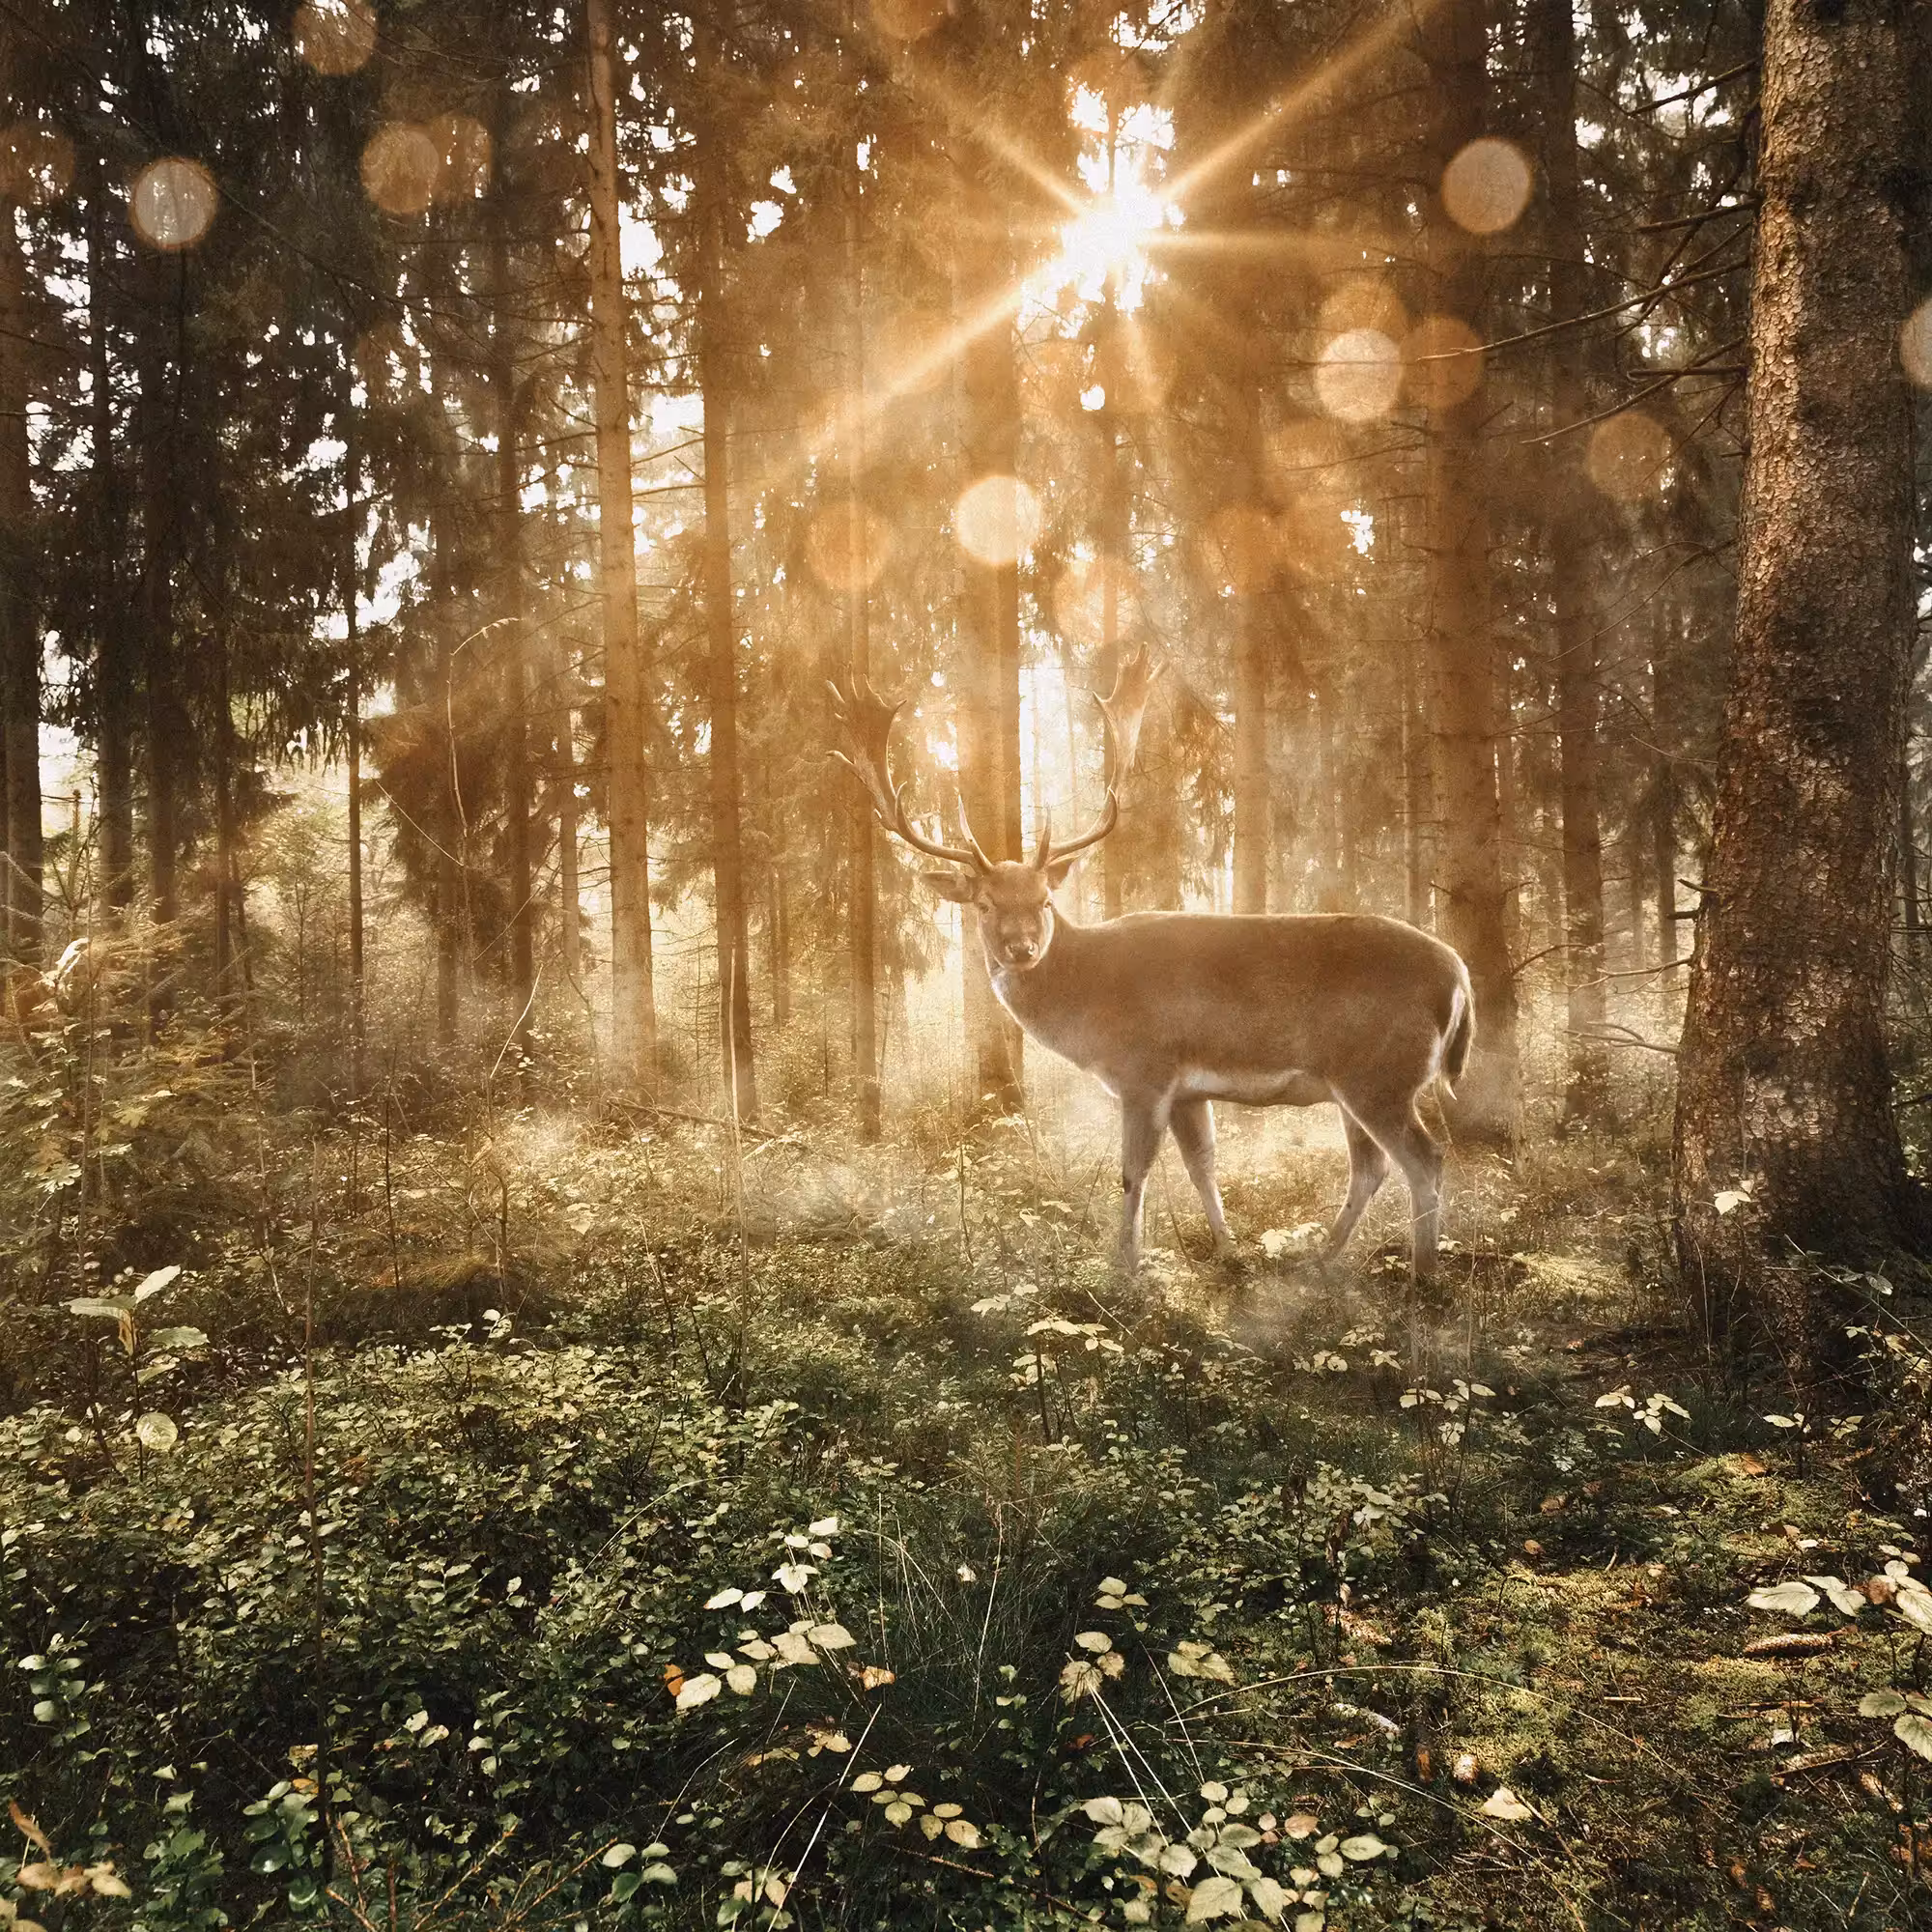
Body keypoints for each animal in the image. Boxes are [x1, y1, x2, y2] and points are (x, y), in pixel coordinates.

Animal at [829, 647, 1473, 1281]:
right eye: (985, 904)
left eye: (1045, 900)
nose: (1021, 948)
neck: (1089, 1003)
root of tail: (1460, 974)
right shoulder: (1189, 1089)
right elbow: (1202, 1165)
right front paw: (1227, 1250)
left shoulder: (1145, 1069)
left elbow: (1131, 1171)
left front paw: (1125, 1269)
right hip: (1357, 1082)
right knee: (1371, 1167)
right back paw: (1320, 1260)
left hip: (1379, 1071)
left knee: (1424, 1158)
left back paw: (1423, 1274)